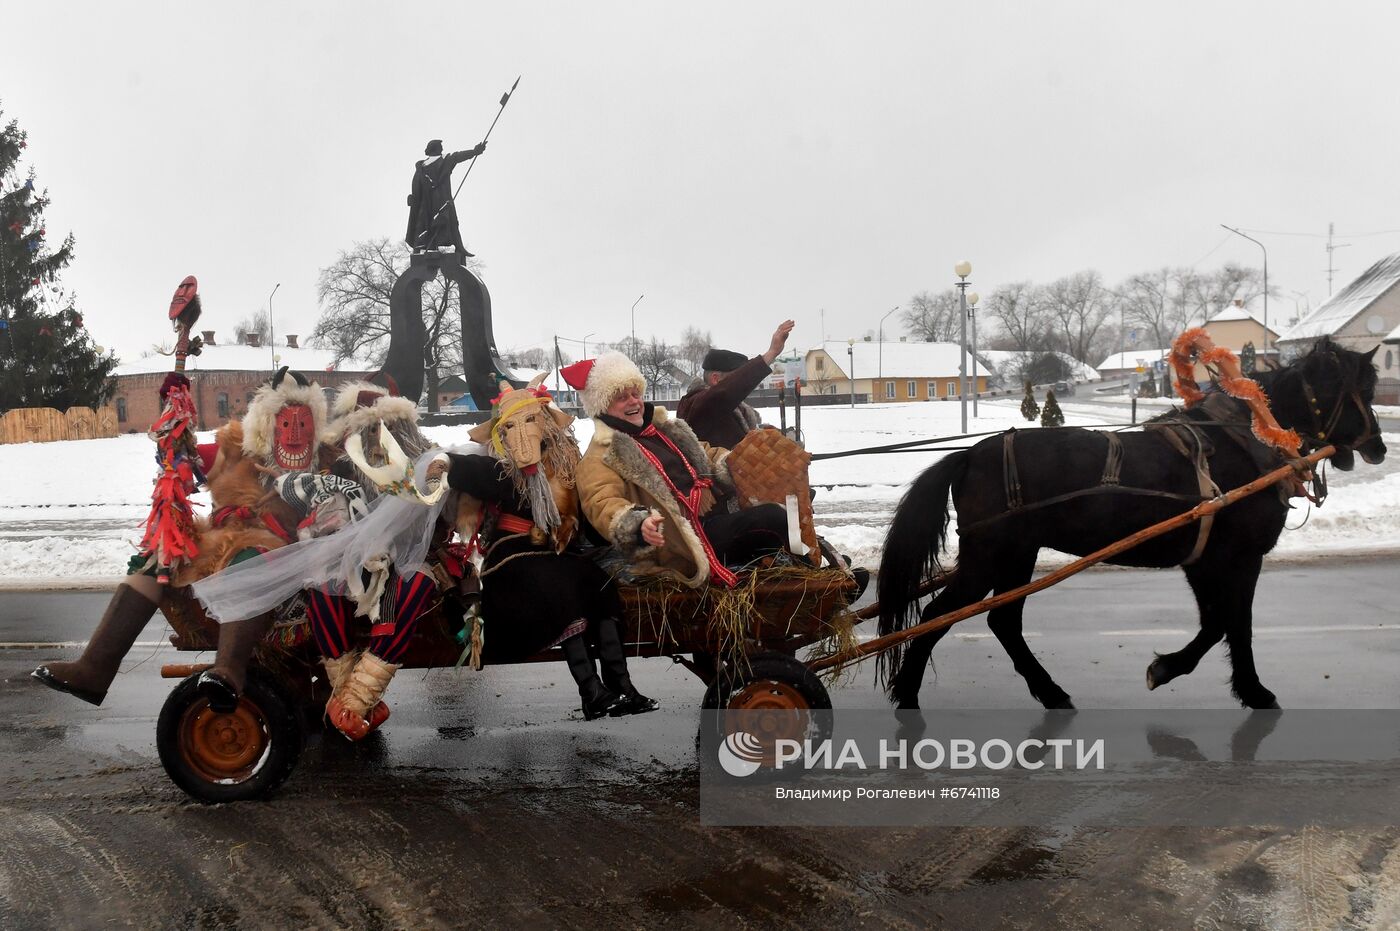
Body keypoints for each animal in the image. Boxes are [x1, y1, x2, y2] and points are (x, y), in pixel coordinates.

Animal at [879, 337, 1383, 708]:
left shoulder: (1201, 559)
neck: (1244, 440)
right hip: (990, 556)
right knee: (936, 617)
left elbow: (1217, 622)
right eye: (1363, 391)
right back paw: (908, 695)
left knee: (1002, 621)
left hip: (1016, 556)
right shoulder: (1236, 557)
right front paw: (1248, 690)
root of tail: (969, 455)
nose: (1378, 446)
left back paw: (1049, 692)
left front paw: (1178, 670)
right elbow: (1233, 623)